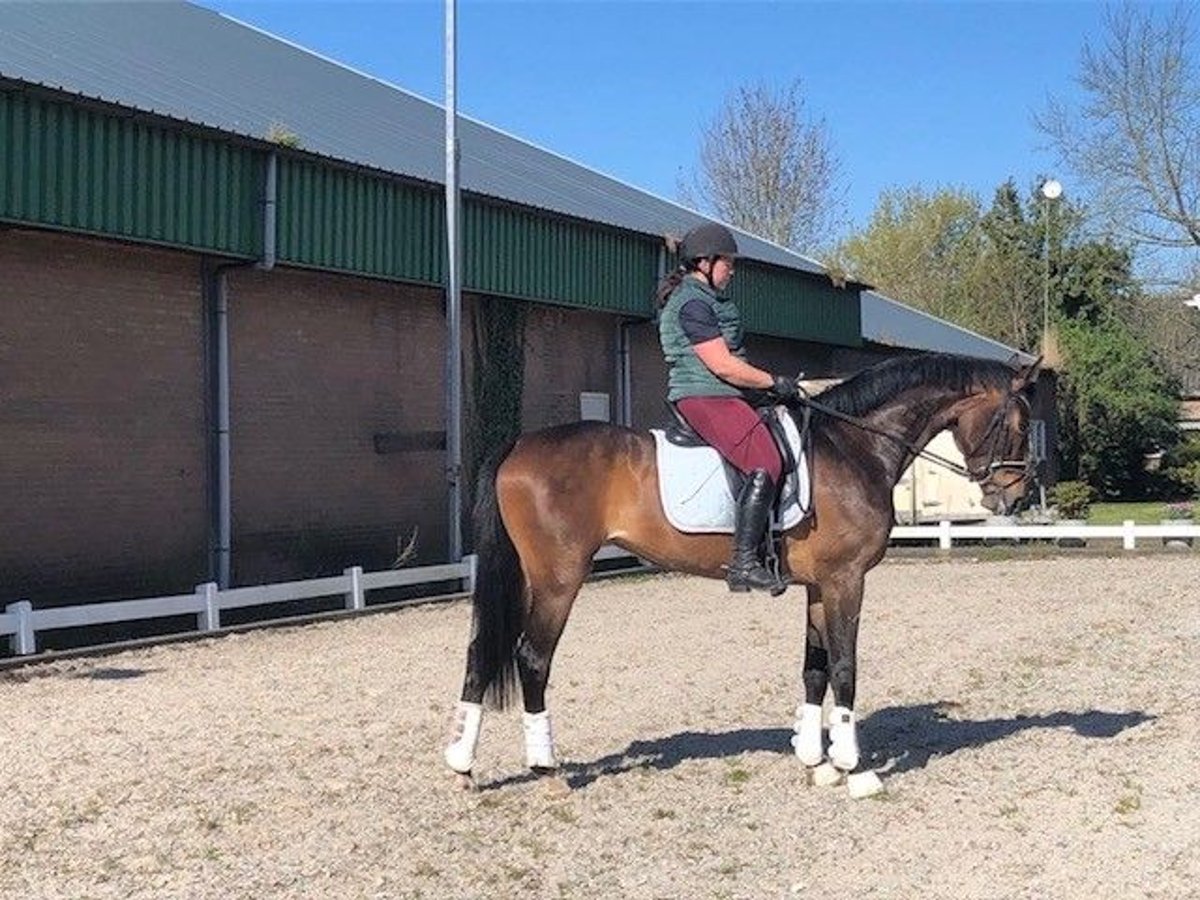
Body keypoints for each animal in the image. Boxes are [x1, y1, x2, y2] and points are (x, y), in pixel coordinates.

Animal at [444, 352, 1040, 794]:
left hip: (529, 576)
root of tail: (520, 443)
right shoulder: (847, 580)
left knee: (479, 653)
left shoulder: (819, 586)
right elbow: (845, 668)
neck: (855, 445)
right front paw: (853, 768)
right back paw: (546, 768)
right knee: (532, 657)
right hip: (558, 578)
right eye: (1019, 423)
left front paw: (815, 760)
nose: (1013, 497)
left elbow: (815, 669)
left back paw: (463, 765)